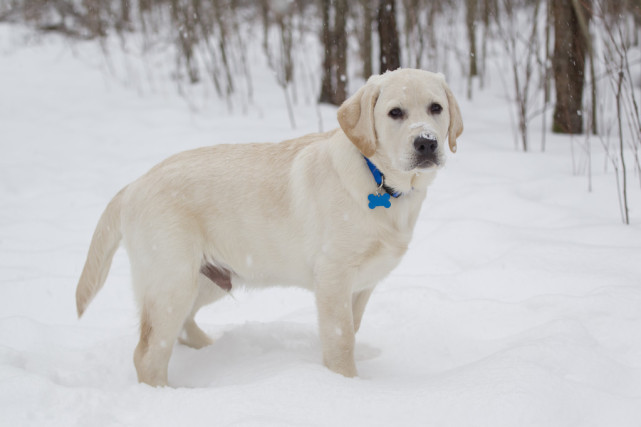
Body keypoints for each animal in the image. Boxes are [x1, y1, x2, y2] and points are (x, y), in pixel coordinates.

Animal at [77, 68, 462, 386]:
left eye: (436, 108)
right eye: (395, 113)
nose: (426, 142)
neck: (380, 180)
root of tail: (134, 184)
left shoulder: (363, 284)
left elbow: (352, 328)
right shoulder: (334, 277)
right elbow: (341, 338)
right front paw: (346, 386)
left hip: (208, 278)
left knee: (181, 329)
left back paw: (213, 349)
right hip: (172, 281)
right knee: (147, 353)